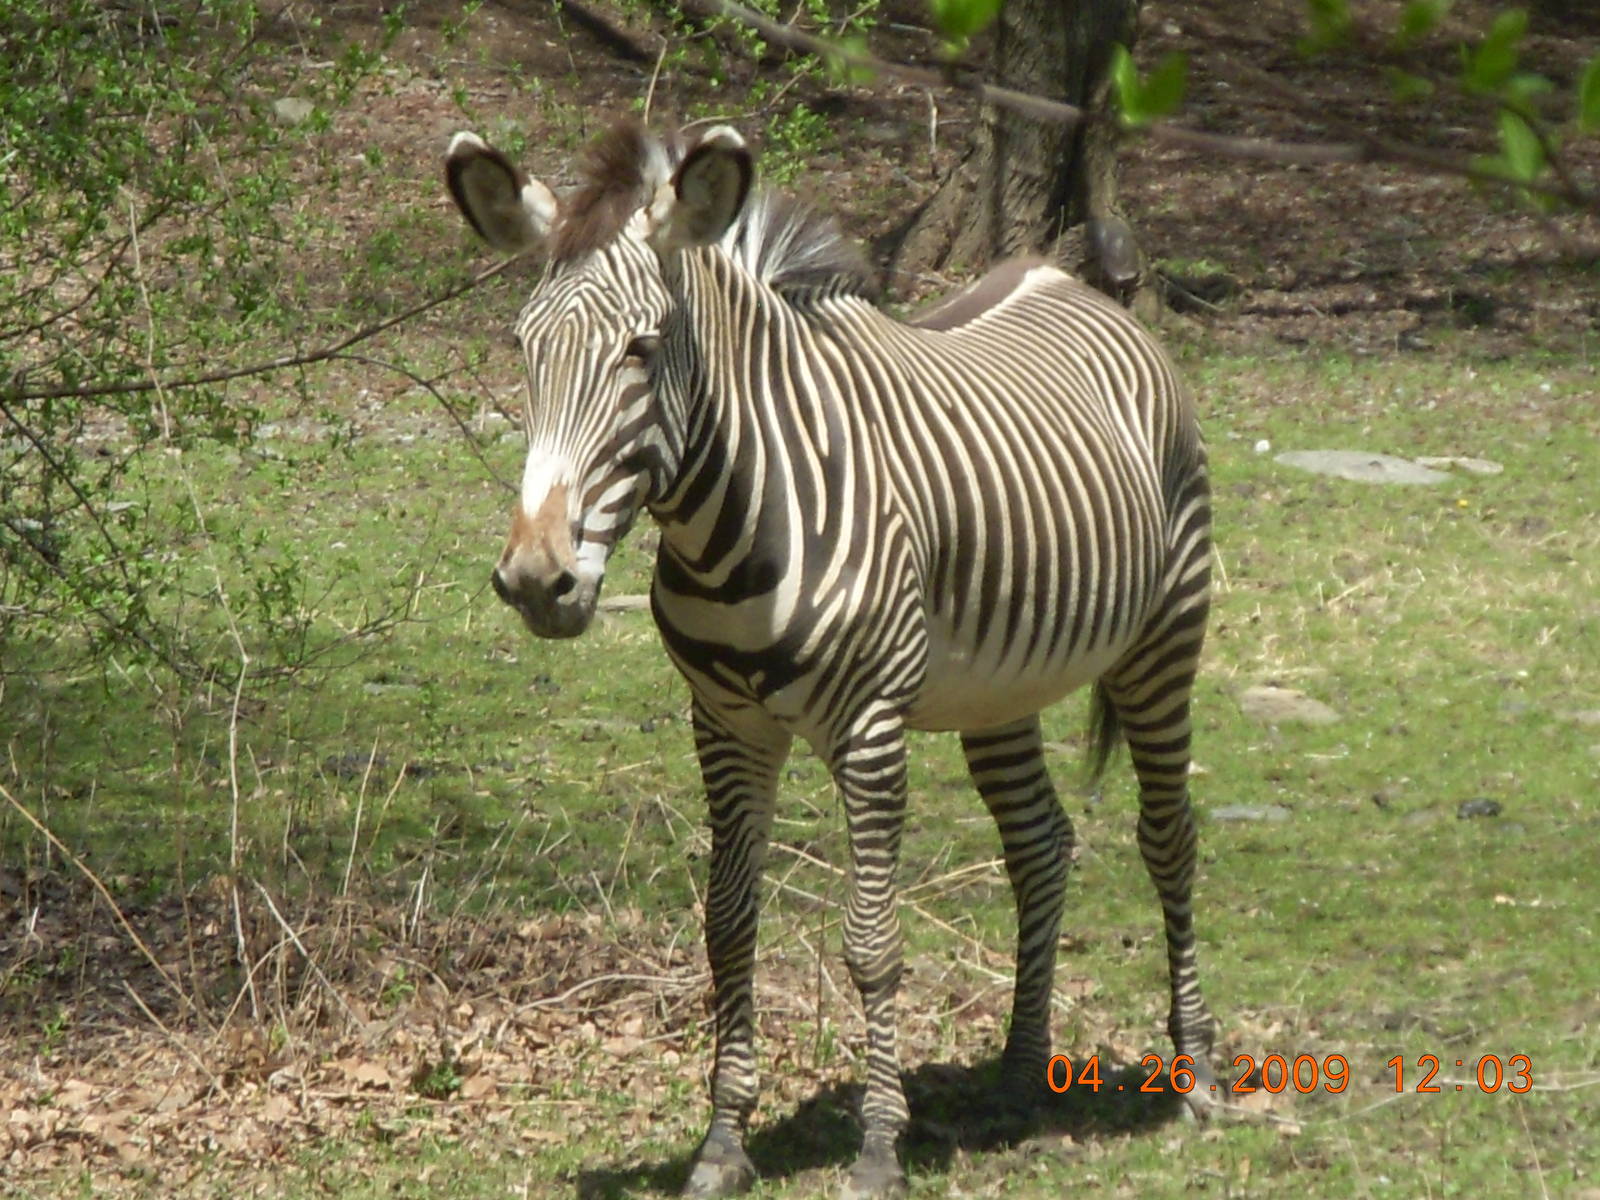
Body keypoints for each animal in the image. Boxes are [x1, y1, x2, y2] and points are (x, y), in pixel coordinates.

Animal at [444, 119, 1218, 1199]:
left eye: (642, 350)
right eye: (524, 350)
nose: (534, 580)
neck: (737, 520)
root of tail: (1065, 280)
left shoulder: (871, 730)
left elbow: (872, 942)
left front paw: (880, 1146)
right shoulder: (724, 726)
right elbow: (728, 921)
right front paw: (722, 1143)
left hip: (1164, 637)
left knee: (1167, 836)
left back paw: (1196, 1073)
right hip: (999, 687)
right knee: (1038, 843)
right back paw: (1021, 1074)